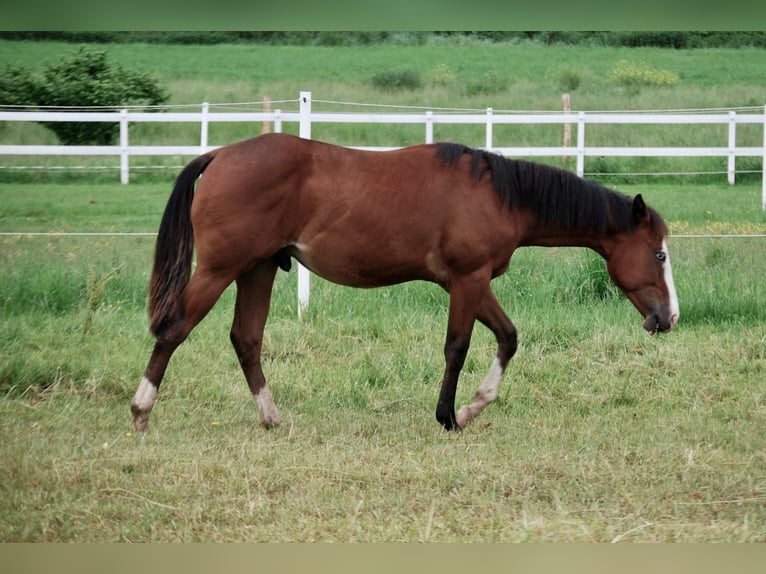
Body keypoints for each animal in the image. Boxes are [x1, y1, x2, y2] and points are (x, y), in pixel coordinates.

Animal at [129, 134, 680, 432]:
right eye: (658, 253)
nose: (669, 317)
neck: (497, 194)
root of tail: (220, 154)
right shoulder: (467, 281)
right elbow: (457, 346)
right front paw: (448, 416)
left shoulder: (473, 283)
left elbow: (507, 337)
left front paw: (473, 407)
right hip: (220, 270)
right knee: (174, 330)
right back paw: (140, 411)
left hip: (258, 269)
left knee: (246, 339)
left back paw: (272, 417)